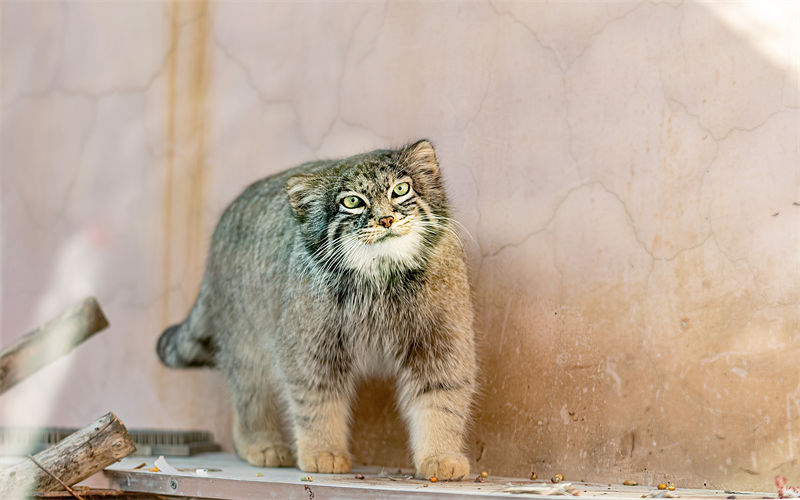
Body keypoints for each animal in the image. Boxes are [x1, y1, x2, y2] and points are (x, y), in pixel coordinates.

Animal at [156, 141, 476, 480]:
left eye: (401, 189)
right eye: (352, 202)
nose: (386, 219)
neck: (379, 279)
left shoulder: (440, 343)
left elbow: (442, 400)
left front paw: (441, 455)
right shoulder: (309, 348)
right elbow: (317, 402)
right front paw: (324, 451)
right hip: (246, 342)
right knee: (250, 395)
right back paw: (259, 443)